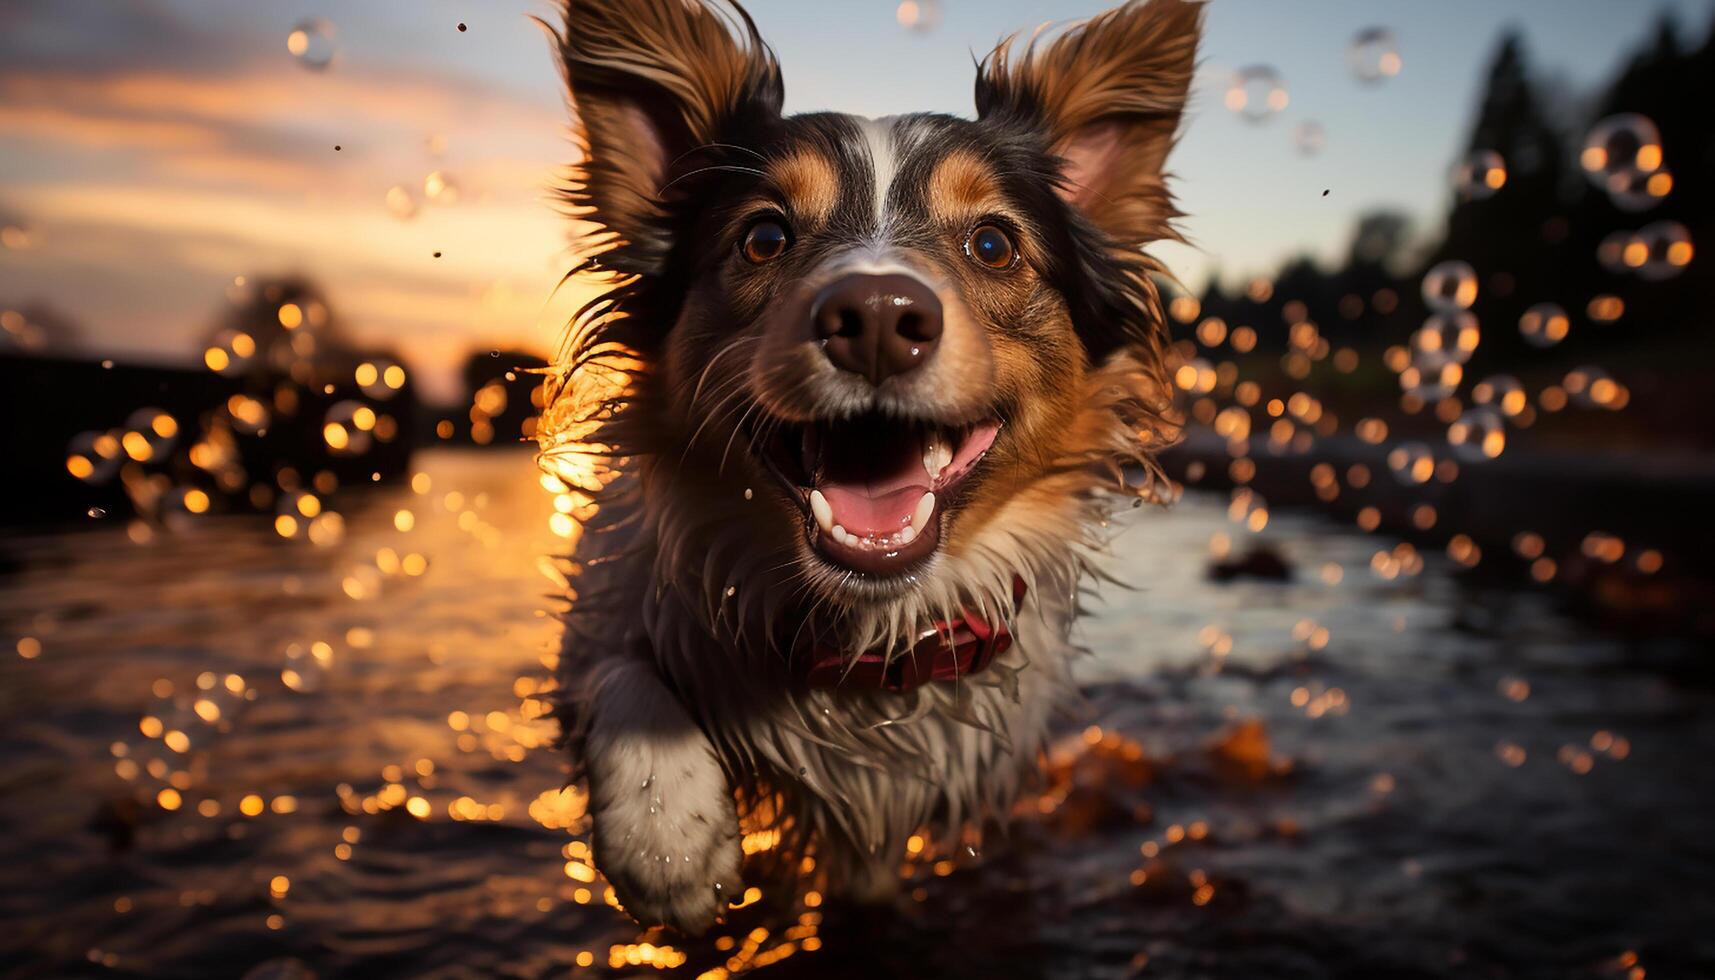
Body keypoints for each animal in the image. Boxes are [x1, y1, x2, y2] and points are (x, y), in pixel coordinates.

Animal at [541, 0, 1200, 933]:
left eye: (993, 245)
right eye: (764, 237)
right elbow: (617, 671)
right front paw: (665, 832)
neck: (860, 634)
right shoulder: (604, 608)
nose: (879, 316)